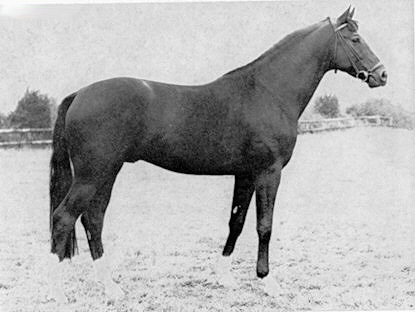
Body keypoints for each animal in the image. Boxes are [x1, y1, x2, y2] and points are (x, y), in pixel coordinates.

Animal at [48, 6, 386, 302]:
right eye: (355, 38)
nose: (382, 75)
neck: (268, 92)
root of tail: (79, 94)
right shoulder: (269, 172)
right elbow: (264, 226)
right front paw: (268, 281)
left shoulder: (246, 174)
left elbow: (236, 222)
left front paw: (224, 277)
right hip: (93, 174)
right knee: (64, 218)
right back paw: (60, 292)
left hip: (107, 173)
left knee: (93, 219)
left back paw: (110, 287)